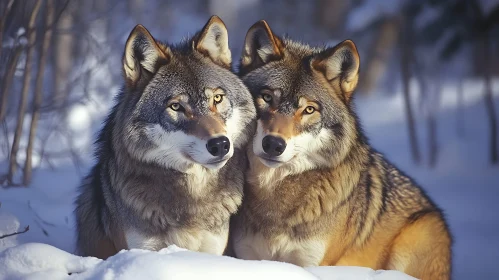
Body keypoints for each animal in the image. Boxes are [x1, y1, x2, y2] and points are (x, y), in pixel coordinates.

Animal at [233, 20, 454, 280]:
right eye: (267, 98)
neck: (274, 200)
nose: (273, 144)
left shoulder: (312, 264)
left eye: (309, 110)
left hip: (415, 238)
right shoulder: (247, 256)